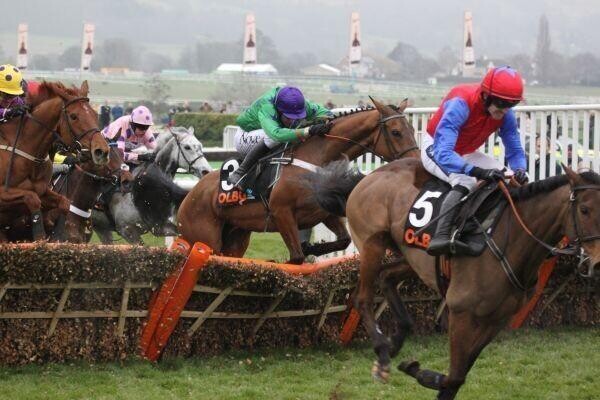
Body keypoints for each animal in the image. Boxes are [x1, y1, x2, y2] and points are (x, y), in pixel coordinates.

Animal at [0, 79, 109, 239]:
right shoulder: (4, 195)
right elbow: (32, 199)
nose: (102, 151)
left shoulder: (44, 191)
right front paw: (40, 237)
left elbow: (64, 203)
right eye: (74, 116)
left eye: (95, 115)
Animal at [178, 98, 420, 264]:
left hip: (236, 236)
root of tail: (190, 195)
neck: (317, 157)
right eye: (396, 132)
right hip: (203, 238)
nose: (416, 163)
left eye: (411, 129)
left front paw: (312, 247)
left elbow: (343, 240)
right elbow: (296, 257)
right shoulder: (282, 213)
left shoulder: (323, 212)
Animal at [310, 158, 600, 398]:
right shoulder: (461, 311)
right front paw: (423, 374)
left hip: (413, 257)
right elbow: (455, 376)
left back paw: (396, 339)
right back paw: (382, 351)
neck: (510, 240)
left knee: (387, 277)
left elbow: (457, 376)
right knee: (362, 297)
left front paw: (424, 373)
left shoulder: (497, 319)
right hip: (372, 244)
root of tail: (368, 177)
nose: (597, 264)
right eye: (585, 210)